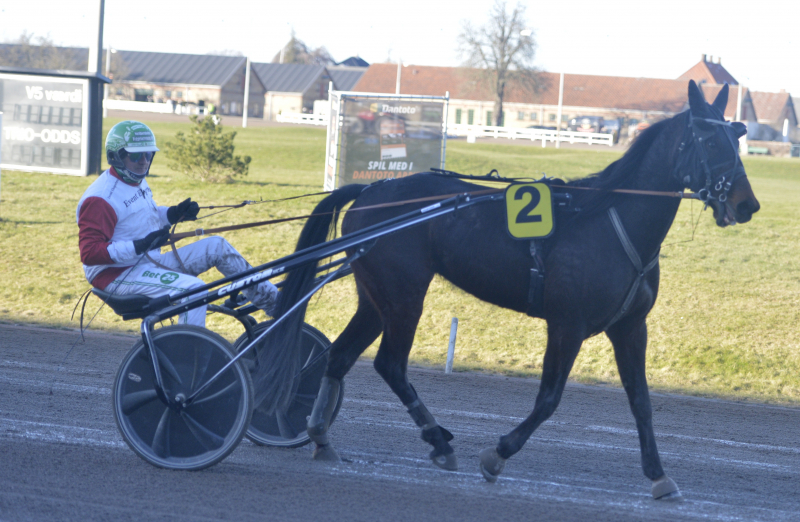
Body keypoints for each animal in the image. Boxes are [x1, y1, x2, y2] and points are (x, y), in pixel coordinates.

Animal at [256, 79, 756, 498]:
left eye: (737, 138)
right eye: (712, 141)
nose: (747, 204)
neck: (609, 221)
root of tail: (370, 190)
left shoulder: (631, 327)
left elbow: (642, 403)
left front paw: (658, 476)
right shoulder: (567, 324)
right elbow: (549, 398)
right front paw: (497, 455)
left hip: (377, 297)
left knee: (340, 356)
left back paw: (321, 437)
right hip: (404, 297)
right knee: (390, 364)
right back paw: (439, 441)